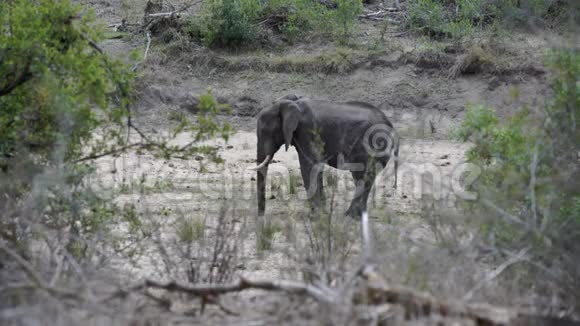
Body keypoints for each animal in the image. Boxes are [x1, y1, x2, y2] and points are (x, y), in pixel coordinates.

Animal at [249, 97, 398, 219]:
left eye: (265, 131)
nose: (261, 216)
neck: (291, 103)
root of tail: (391, 126)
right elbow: (316, 167)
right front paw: (322, 213)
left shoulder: (308, 131)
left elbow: (309, 166)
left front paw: (314, 216)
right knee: (364, 178)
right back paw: (357, 216)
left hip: (372, 145)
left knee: (362, 176)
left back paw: (350, 216)